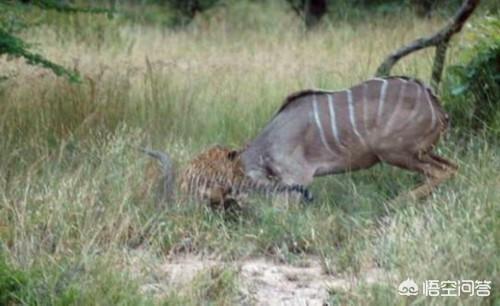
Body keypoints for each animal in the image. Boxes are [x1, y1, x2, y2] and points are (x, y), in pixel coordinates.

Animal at [238, 76, 458, 201]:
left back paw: (398, 201)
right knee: (453, 167)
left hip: (395, 152)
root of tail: (437, 106)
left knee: (442, 171)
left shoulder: (297, 176)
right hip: (420, 152)